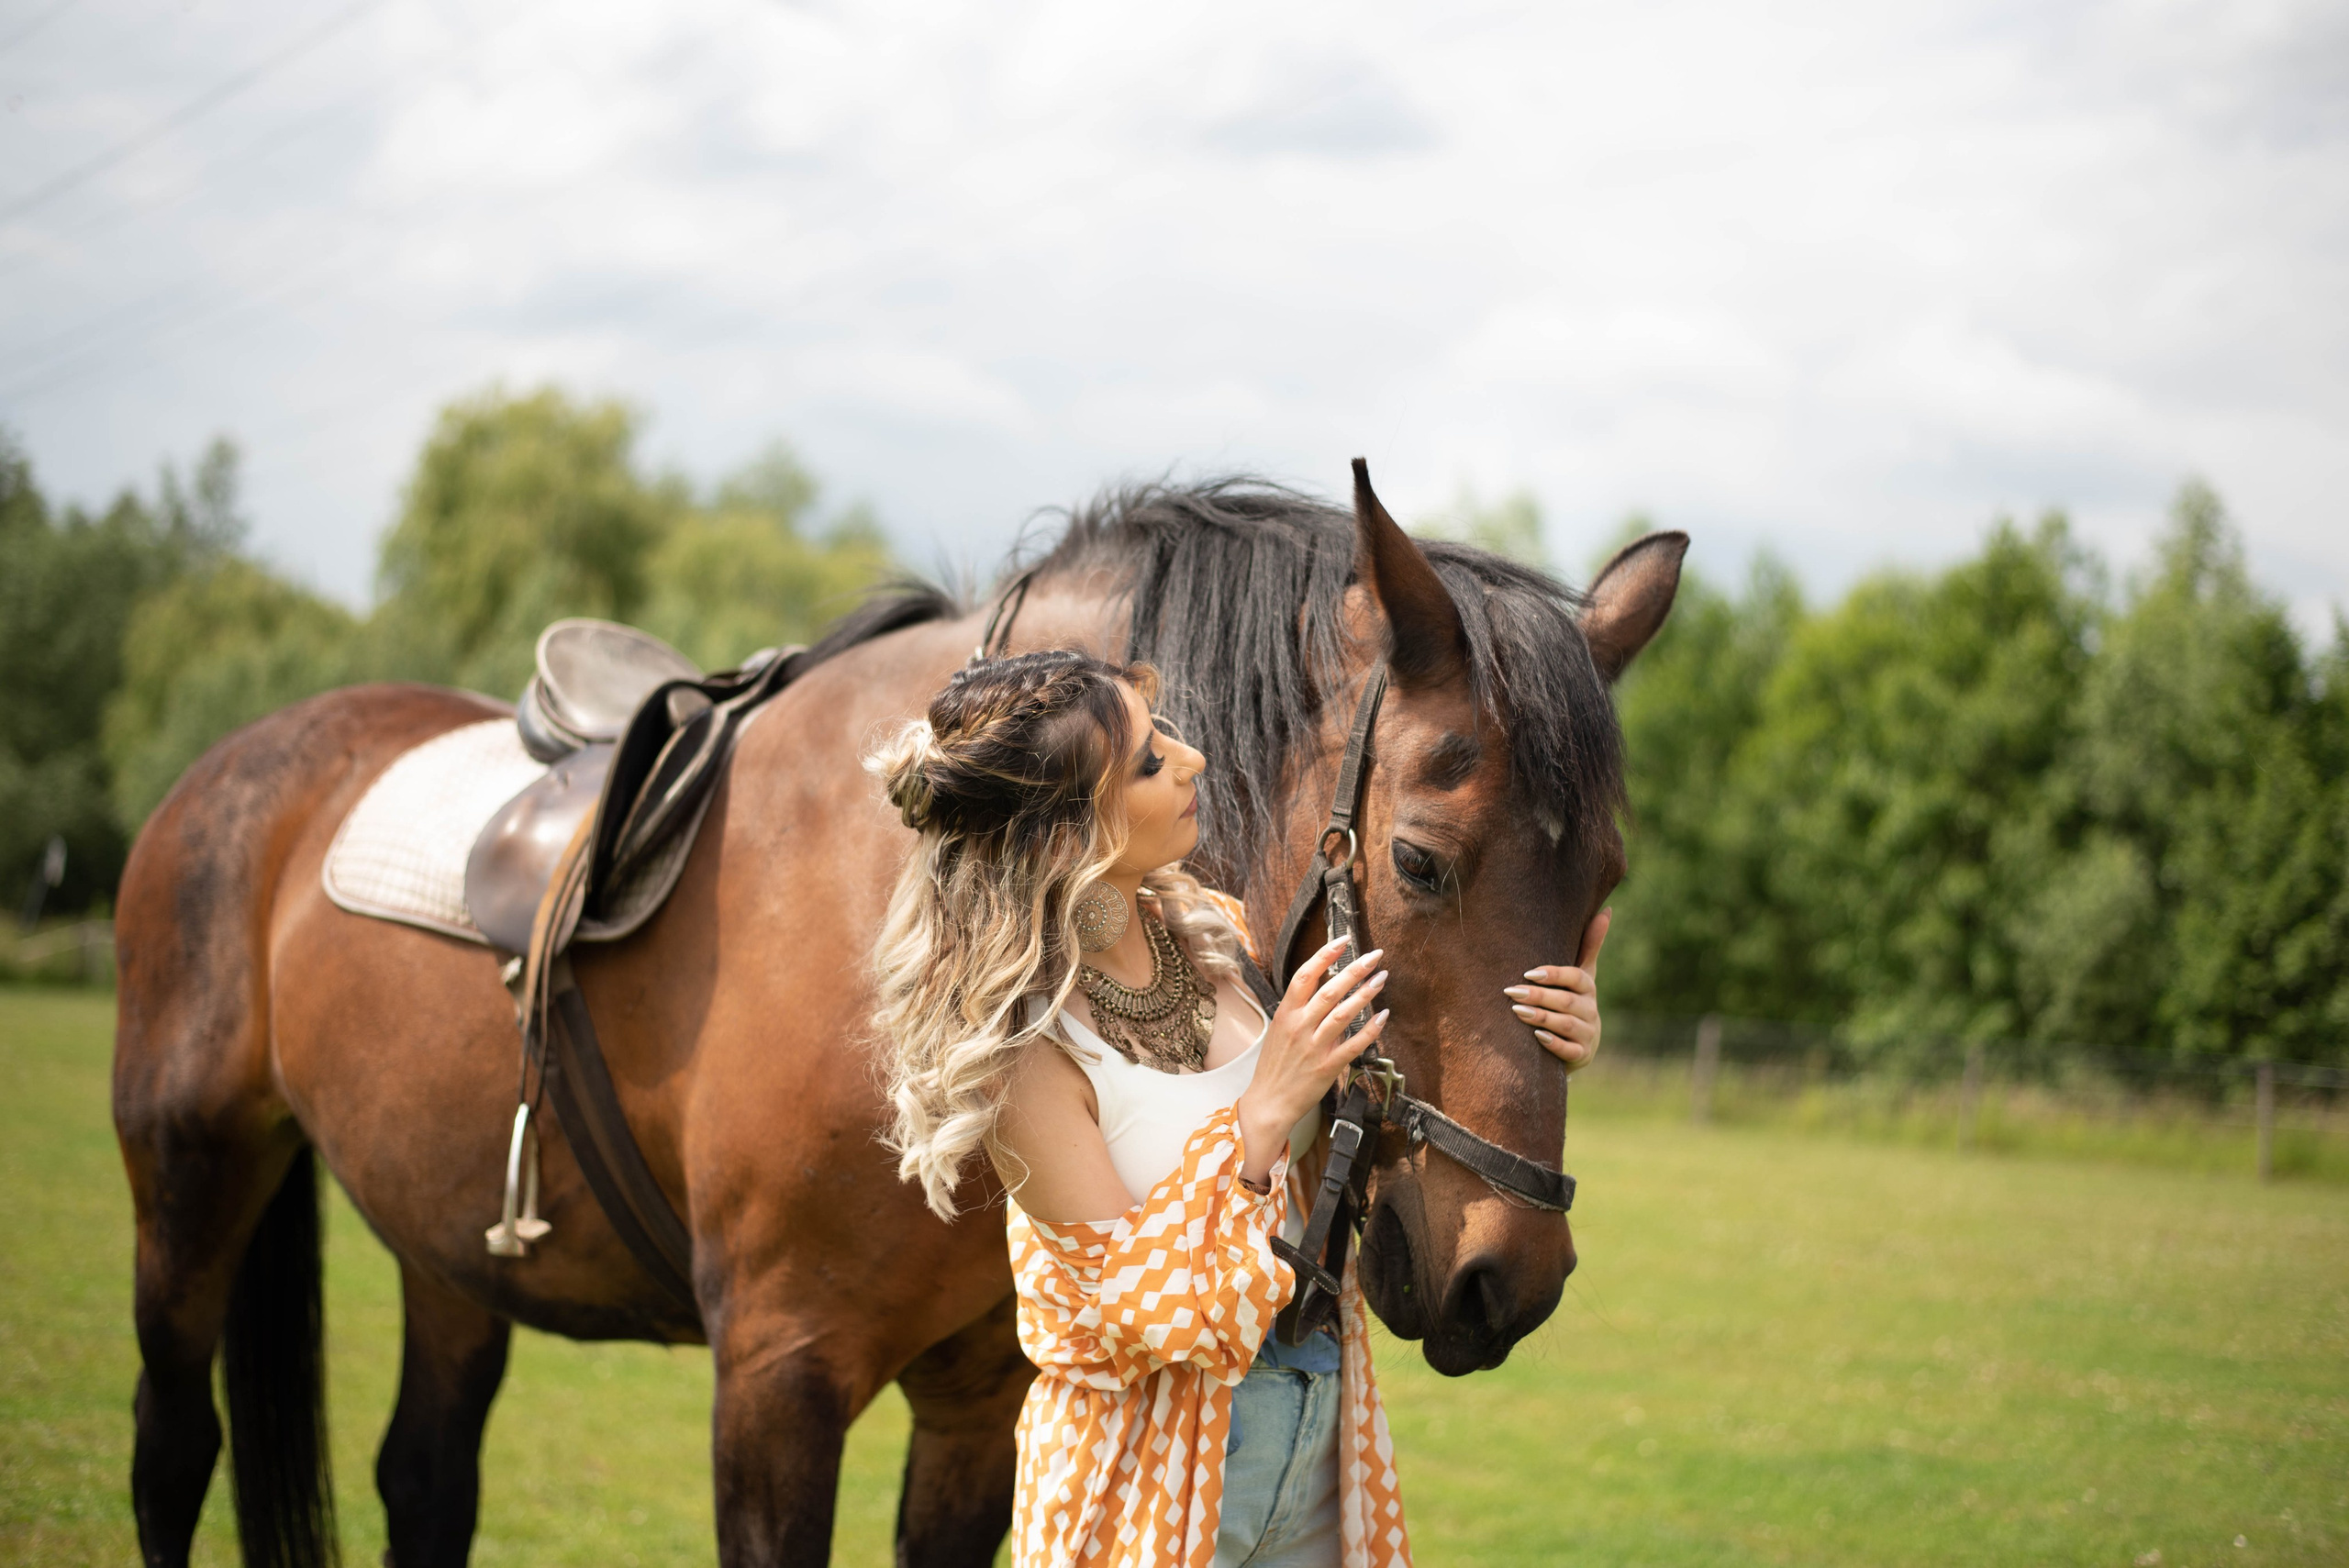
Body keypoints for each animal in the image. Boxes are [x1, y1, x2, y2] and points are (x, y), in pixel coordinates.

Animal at [111, 463, 1684, 1567]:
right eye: (1419, 860)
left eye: (1608, 884)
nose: (1508, 1272)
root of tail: (240, 765)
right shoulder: (776, 1379)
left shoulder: (983, 1397)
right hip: (188, 1179)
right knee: (172, 1449)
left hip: (446, 1248)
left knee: (425, 1481)